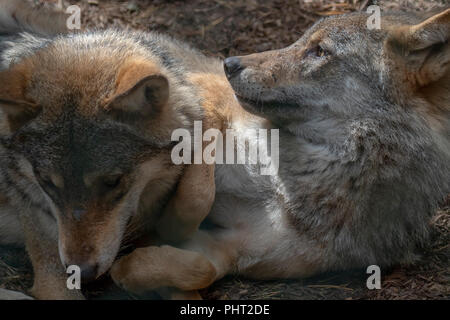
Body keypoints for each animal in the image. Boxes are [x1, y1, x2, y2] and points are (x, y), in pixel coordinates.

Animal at [0, 1, 448, 298]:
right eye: (301, 40)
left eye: (320, 51)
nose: (230, 64)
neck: (286, 189)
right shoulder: (205, 100)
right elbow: (200, 184)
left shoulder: (231, 249)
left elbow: (198, 268)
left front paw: (133, 267)